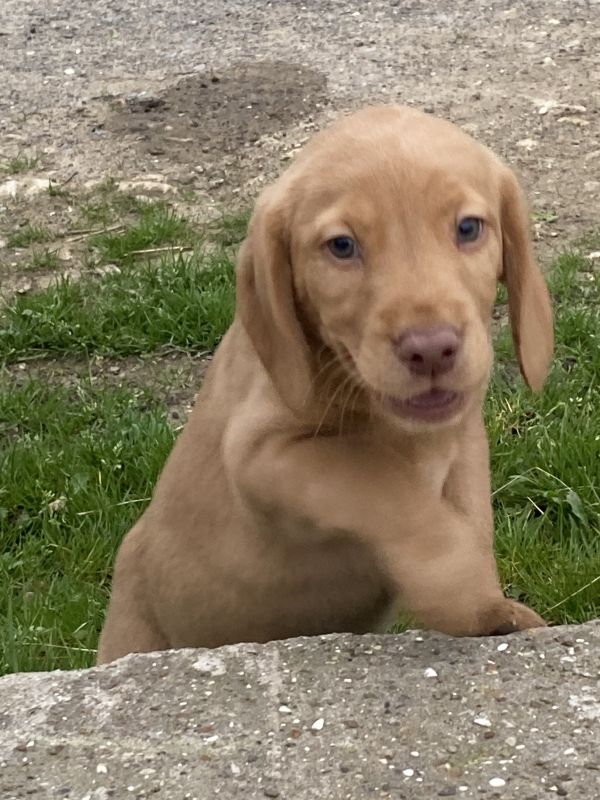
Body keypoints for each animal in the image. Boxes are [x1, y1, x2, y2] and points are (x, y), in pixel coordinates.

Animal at [97, 103, 552, 664]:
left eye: (469, 228)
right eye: (341, 246)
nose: (430, 349)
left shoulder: (462, 435)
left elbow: (468, 517)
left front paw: (492, 606)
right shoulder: (260, 455)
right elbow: (383, 486)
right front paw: (464, 592)